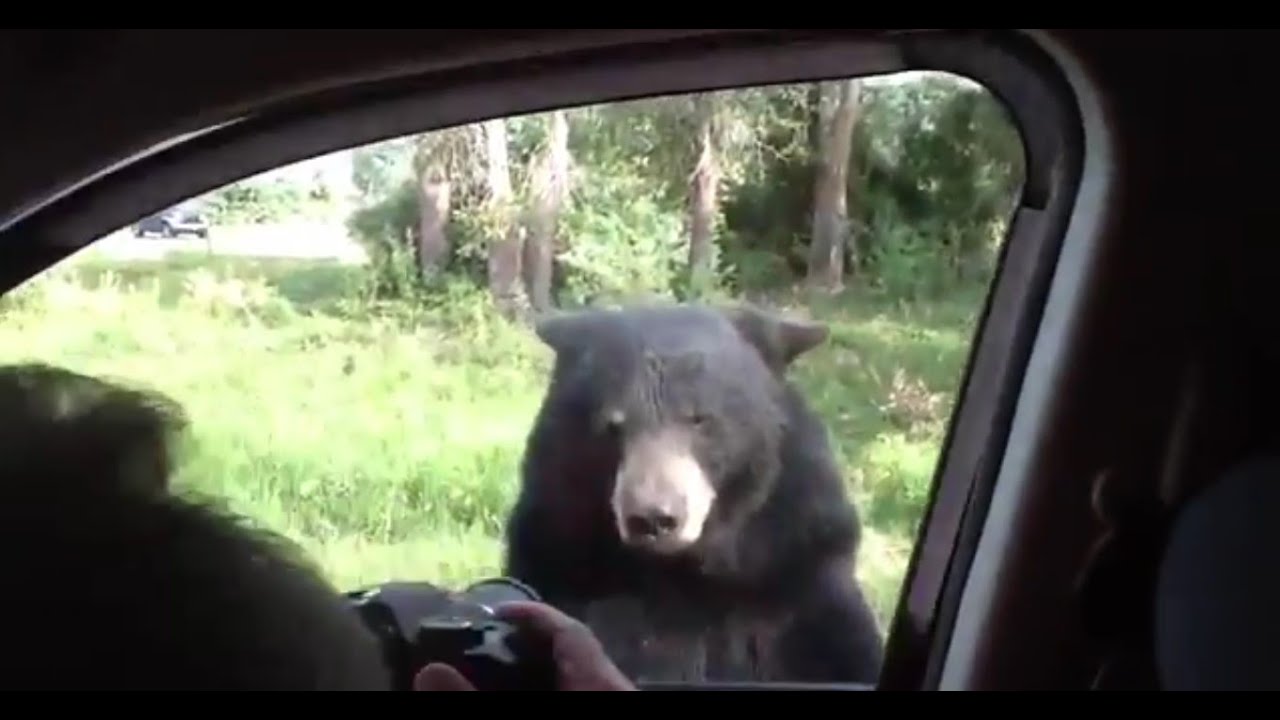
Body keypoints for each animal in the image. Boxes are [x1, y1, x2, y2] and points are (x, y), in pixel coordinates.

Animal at [501, 302, 885, 686]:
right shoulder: (564, 567)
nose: (653, 519)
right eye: (611, 425)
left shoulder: (797, 570)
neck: (688, 573)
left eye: (699, 418)